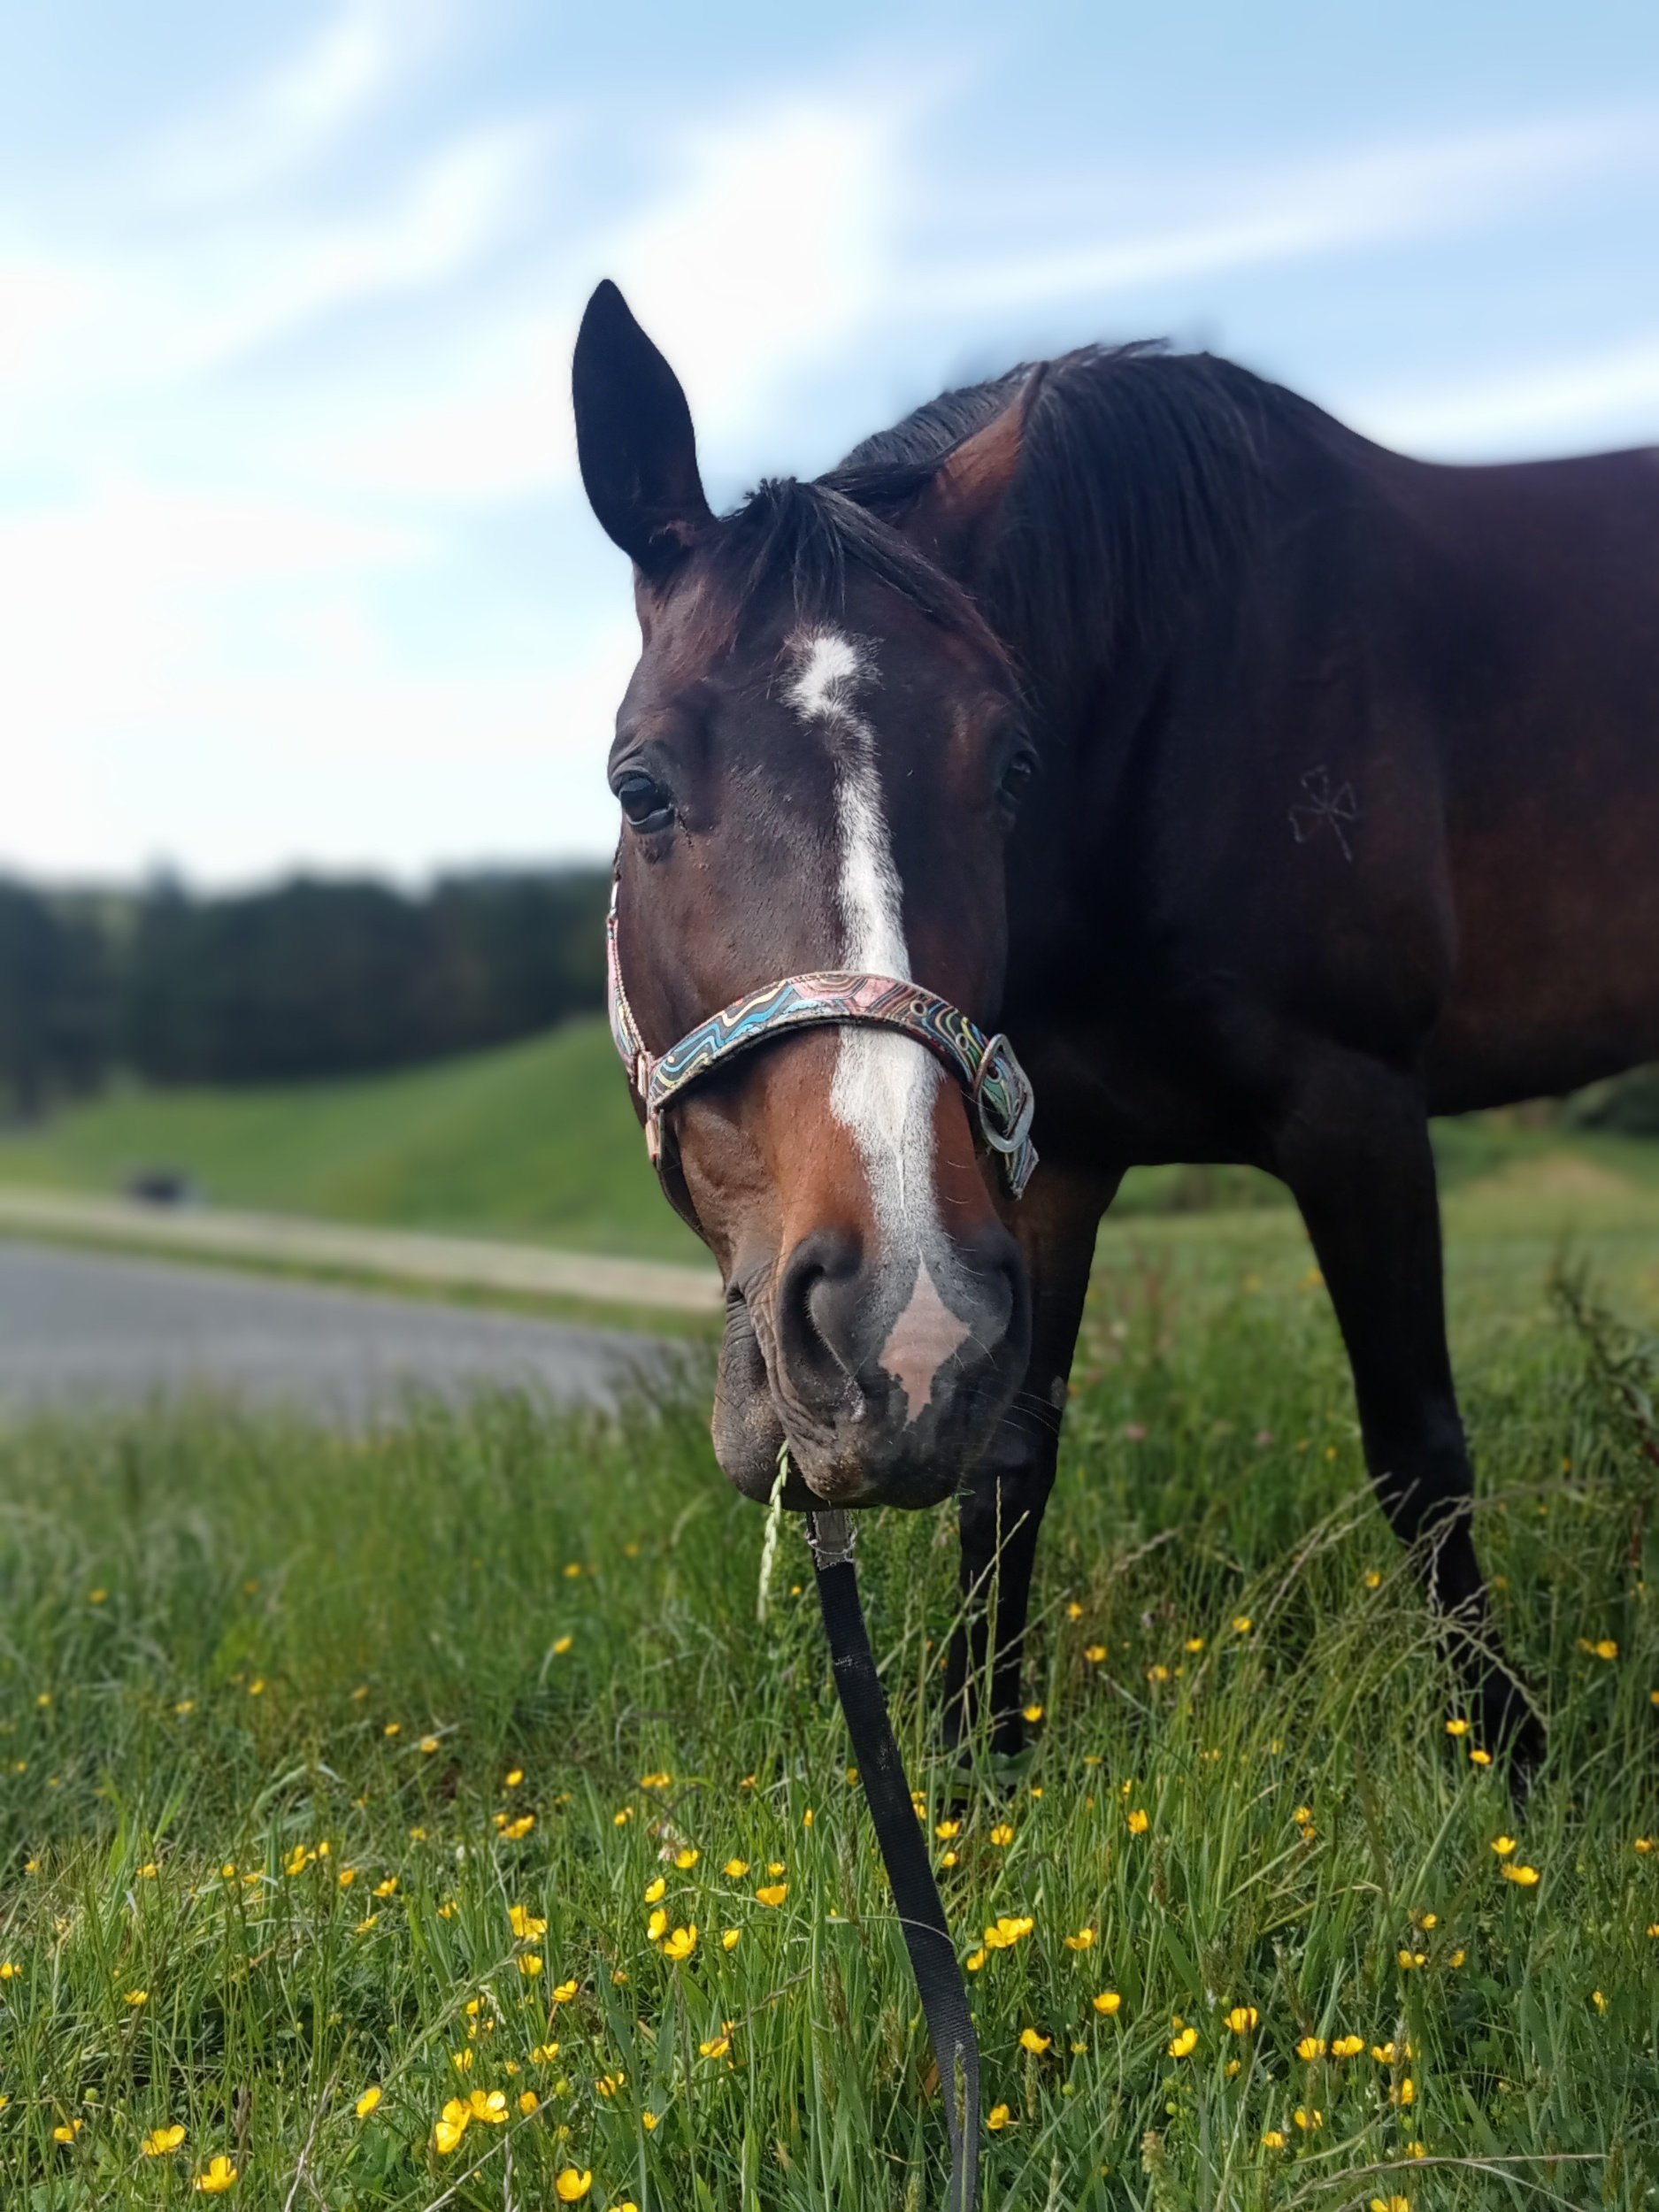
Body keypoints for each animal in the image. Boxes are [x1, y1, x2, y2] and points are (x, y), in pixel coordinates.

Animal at [572, 277, 1659, 1785]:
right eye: (641, 786)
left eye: (1011, 767)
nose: (888, 1328)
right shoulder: (1048, 1159)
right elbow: (1007, 1465)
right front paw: (974, 1773)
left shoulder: (1359, 1110)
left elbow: (1418, 1451)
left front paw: (1508, 1762)